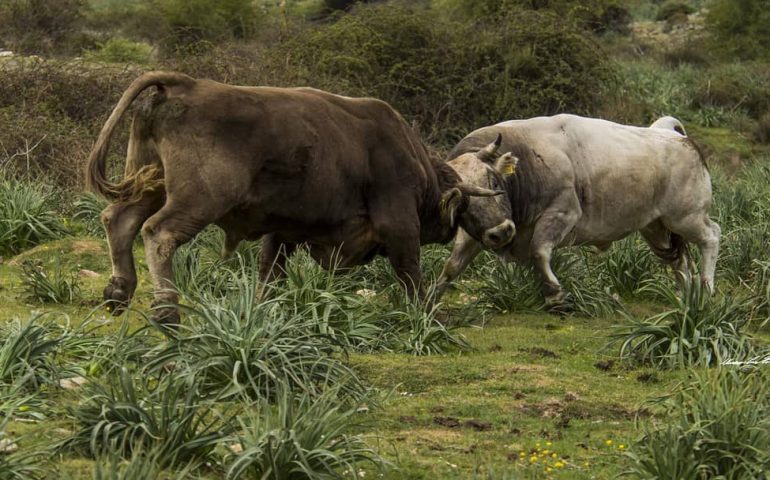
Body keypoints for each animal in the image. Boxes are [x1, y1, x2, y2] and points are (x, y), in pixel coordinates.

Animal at [87, 71, 512, 324]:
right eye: (471, 201)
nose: (503, 232)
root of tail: (184, 83)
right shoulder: (398, 223)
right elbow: (410, 270)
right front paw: (427, 314)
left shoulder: (283, 230)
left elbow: (269, 271)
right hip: (197, 200)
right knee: (158, 233)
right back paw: (165, 309)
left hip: (150, 184)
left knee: (119, 219)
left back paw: (119, 290)